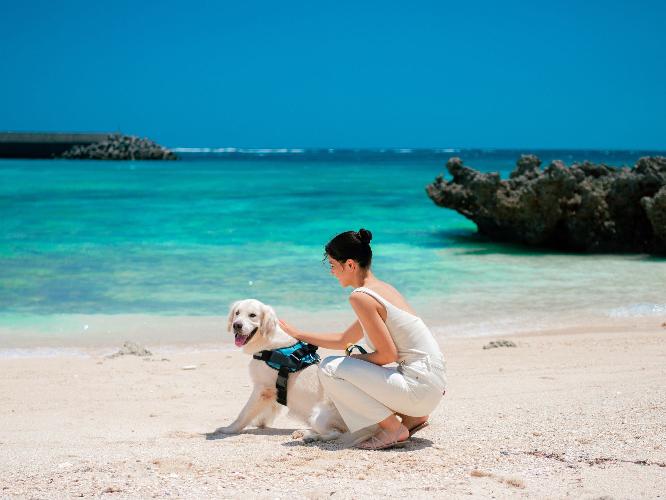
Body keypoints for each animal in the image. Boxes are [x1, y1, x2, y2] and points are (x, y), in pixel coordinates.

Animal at [215, 298, 344, 440]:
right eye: (237, 313)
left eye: (252, 315)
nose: (236, 325)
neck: (267, 342)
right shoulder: (273, 389)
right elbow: (269, 409)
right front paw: (260, 423)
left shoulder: (262, 388)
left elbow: (244, 413)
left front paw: (229, 429)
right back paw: (303, 432)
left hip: (318, 417)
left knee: (336, 433)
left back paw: (311, 437)